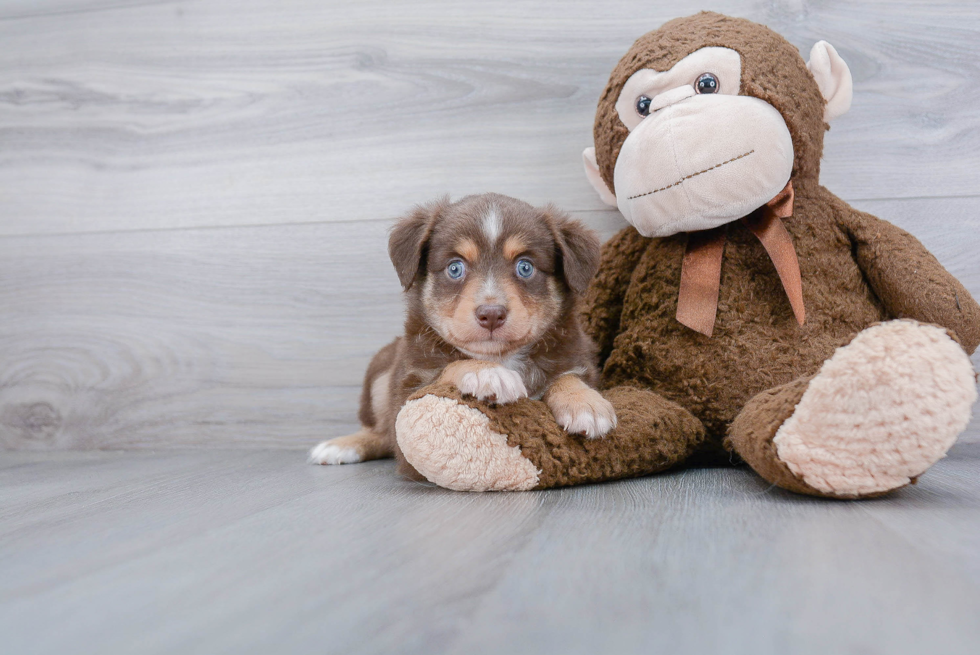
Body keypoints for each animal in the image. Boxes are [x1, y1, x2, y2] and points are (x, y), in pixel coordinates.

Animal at [308, 191, 612, 476]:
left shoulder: (576, 358)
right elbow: (450, 367)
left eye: (525, 267)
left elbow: (567, 377)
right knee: (379, 432)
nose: (491, 314)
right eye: (455, 268)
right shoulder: (407, 392)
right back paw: (342, 446)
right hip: (380, 372)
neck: (502, 357)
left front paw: (586, 404)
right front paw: (487, 374)